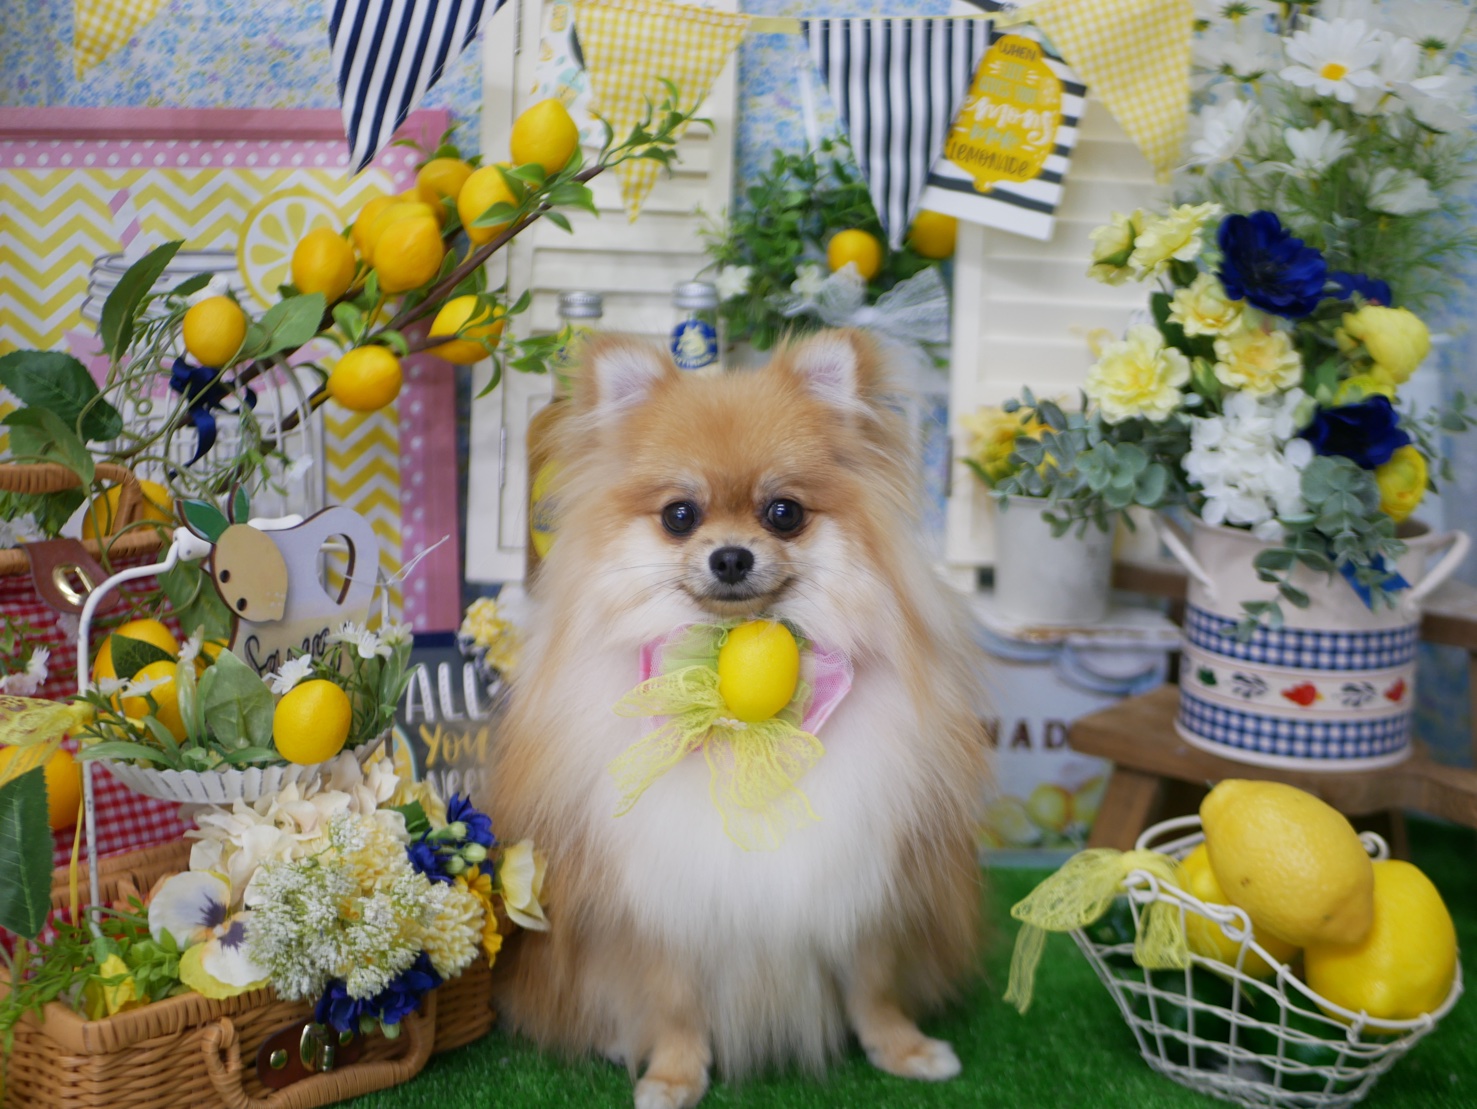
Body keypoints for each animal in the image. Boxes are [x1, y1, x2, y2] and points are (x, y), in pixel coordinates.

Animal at [490, 329, 986, 1108]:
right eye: (679, 515)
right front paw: (673, 1074)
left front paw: (901, 1048)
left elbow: (873, 982)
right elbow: (672, 999)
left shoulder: (866, 878)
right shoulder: (660, 901)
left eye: (783, 512)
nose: (730, 556)